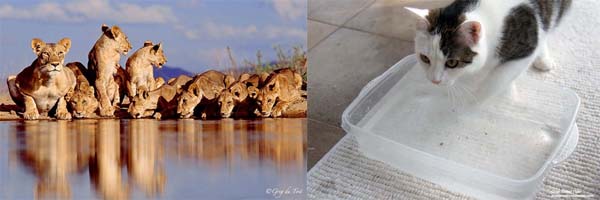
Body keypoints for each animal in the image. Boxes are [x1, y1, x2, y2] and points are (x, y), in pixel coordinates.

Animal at [408, 0, 572, 104]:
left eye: (452, 62)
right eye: (425, 58)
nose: (434, 81)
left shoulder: (525, 49)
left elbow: (497, 79)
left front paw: (474, 100)